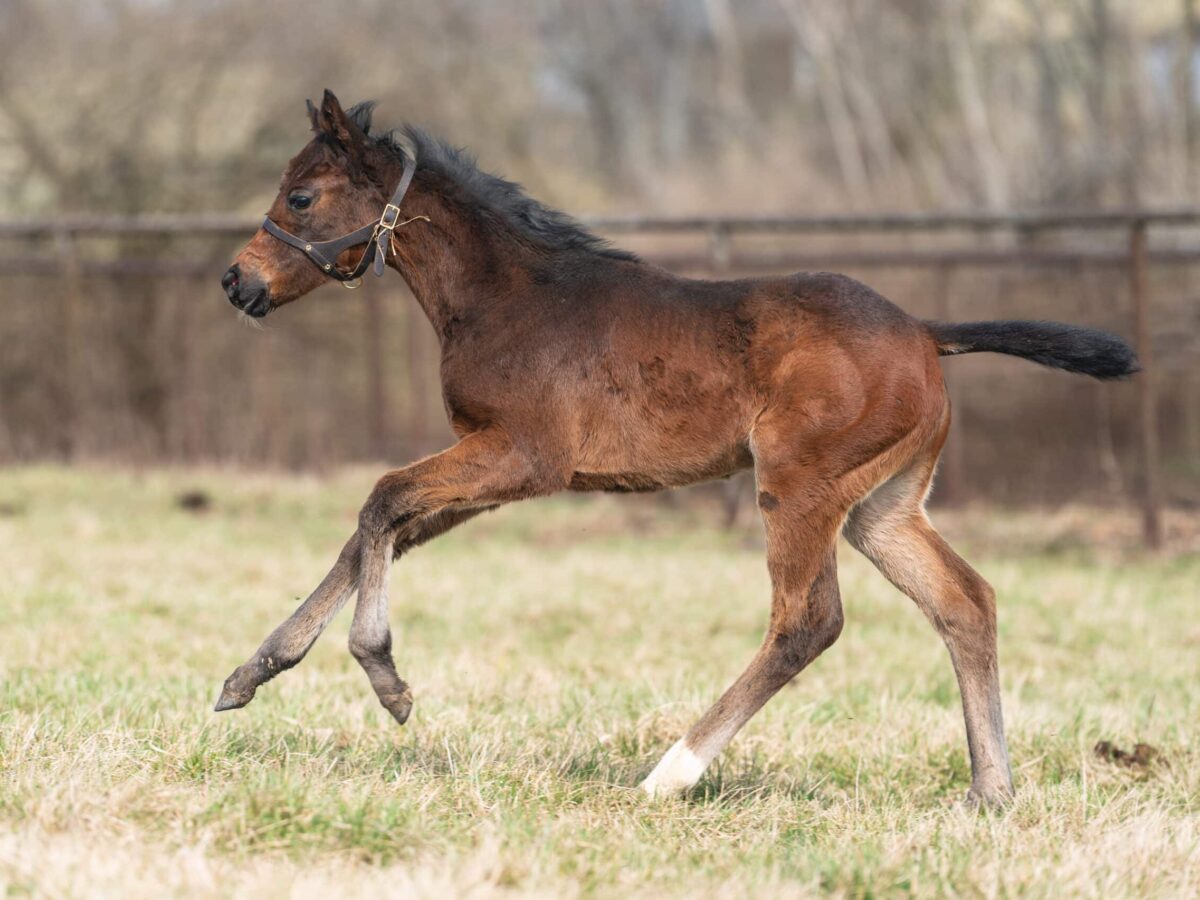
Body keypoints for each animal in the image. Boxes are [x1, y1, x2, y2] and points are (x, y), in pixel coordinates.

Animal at [218, 93, 1142, 811]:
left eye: (301, 196)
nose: (237, 283)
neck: (508, 296)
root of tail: (924, 330)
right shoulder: (492, 465)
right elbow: (375, 530)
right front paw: (254, 669)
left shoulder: (525, 455)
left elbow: (379, 499)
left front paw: (385, 678)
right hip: (881, 505)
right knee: (965, 602)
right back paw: (991, 790)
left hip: (801, 485)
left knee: (808, 622)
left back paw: (671, 773)